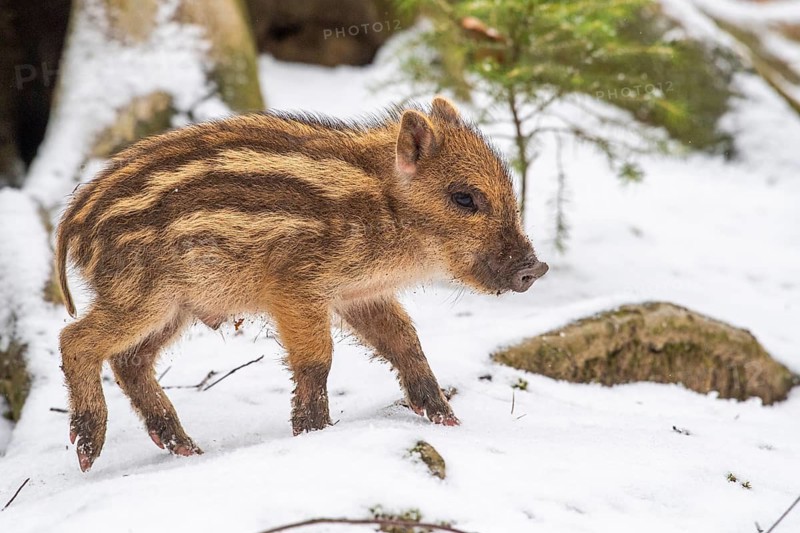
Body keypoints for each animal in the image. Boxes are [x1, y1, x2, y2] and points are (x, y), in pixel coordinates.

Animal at [55, 96, 548, 471]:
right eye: (463, 198)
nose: (535, 269)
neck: (383, 207)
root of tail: (74, 218)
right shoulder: (295, 287)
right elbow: (317, 360)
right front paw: (313, 433)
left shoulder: (360, 294)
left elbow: (406, 342)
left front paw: (448, 421)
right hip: (143, 295)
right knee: (75, 339)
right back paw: (88, 451)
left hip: (175, 308)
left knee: (130, 360)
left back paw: (187, 449)